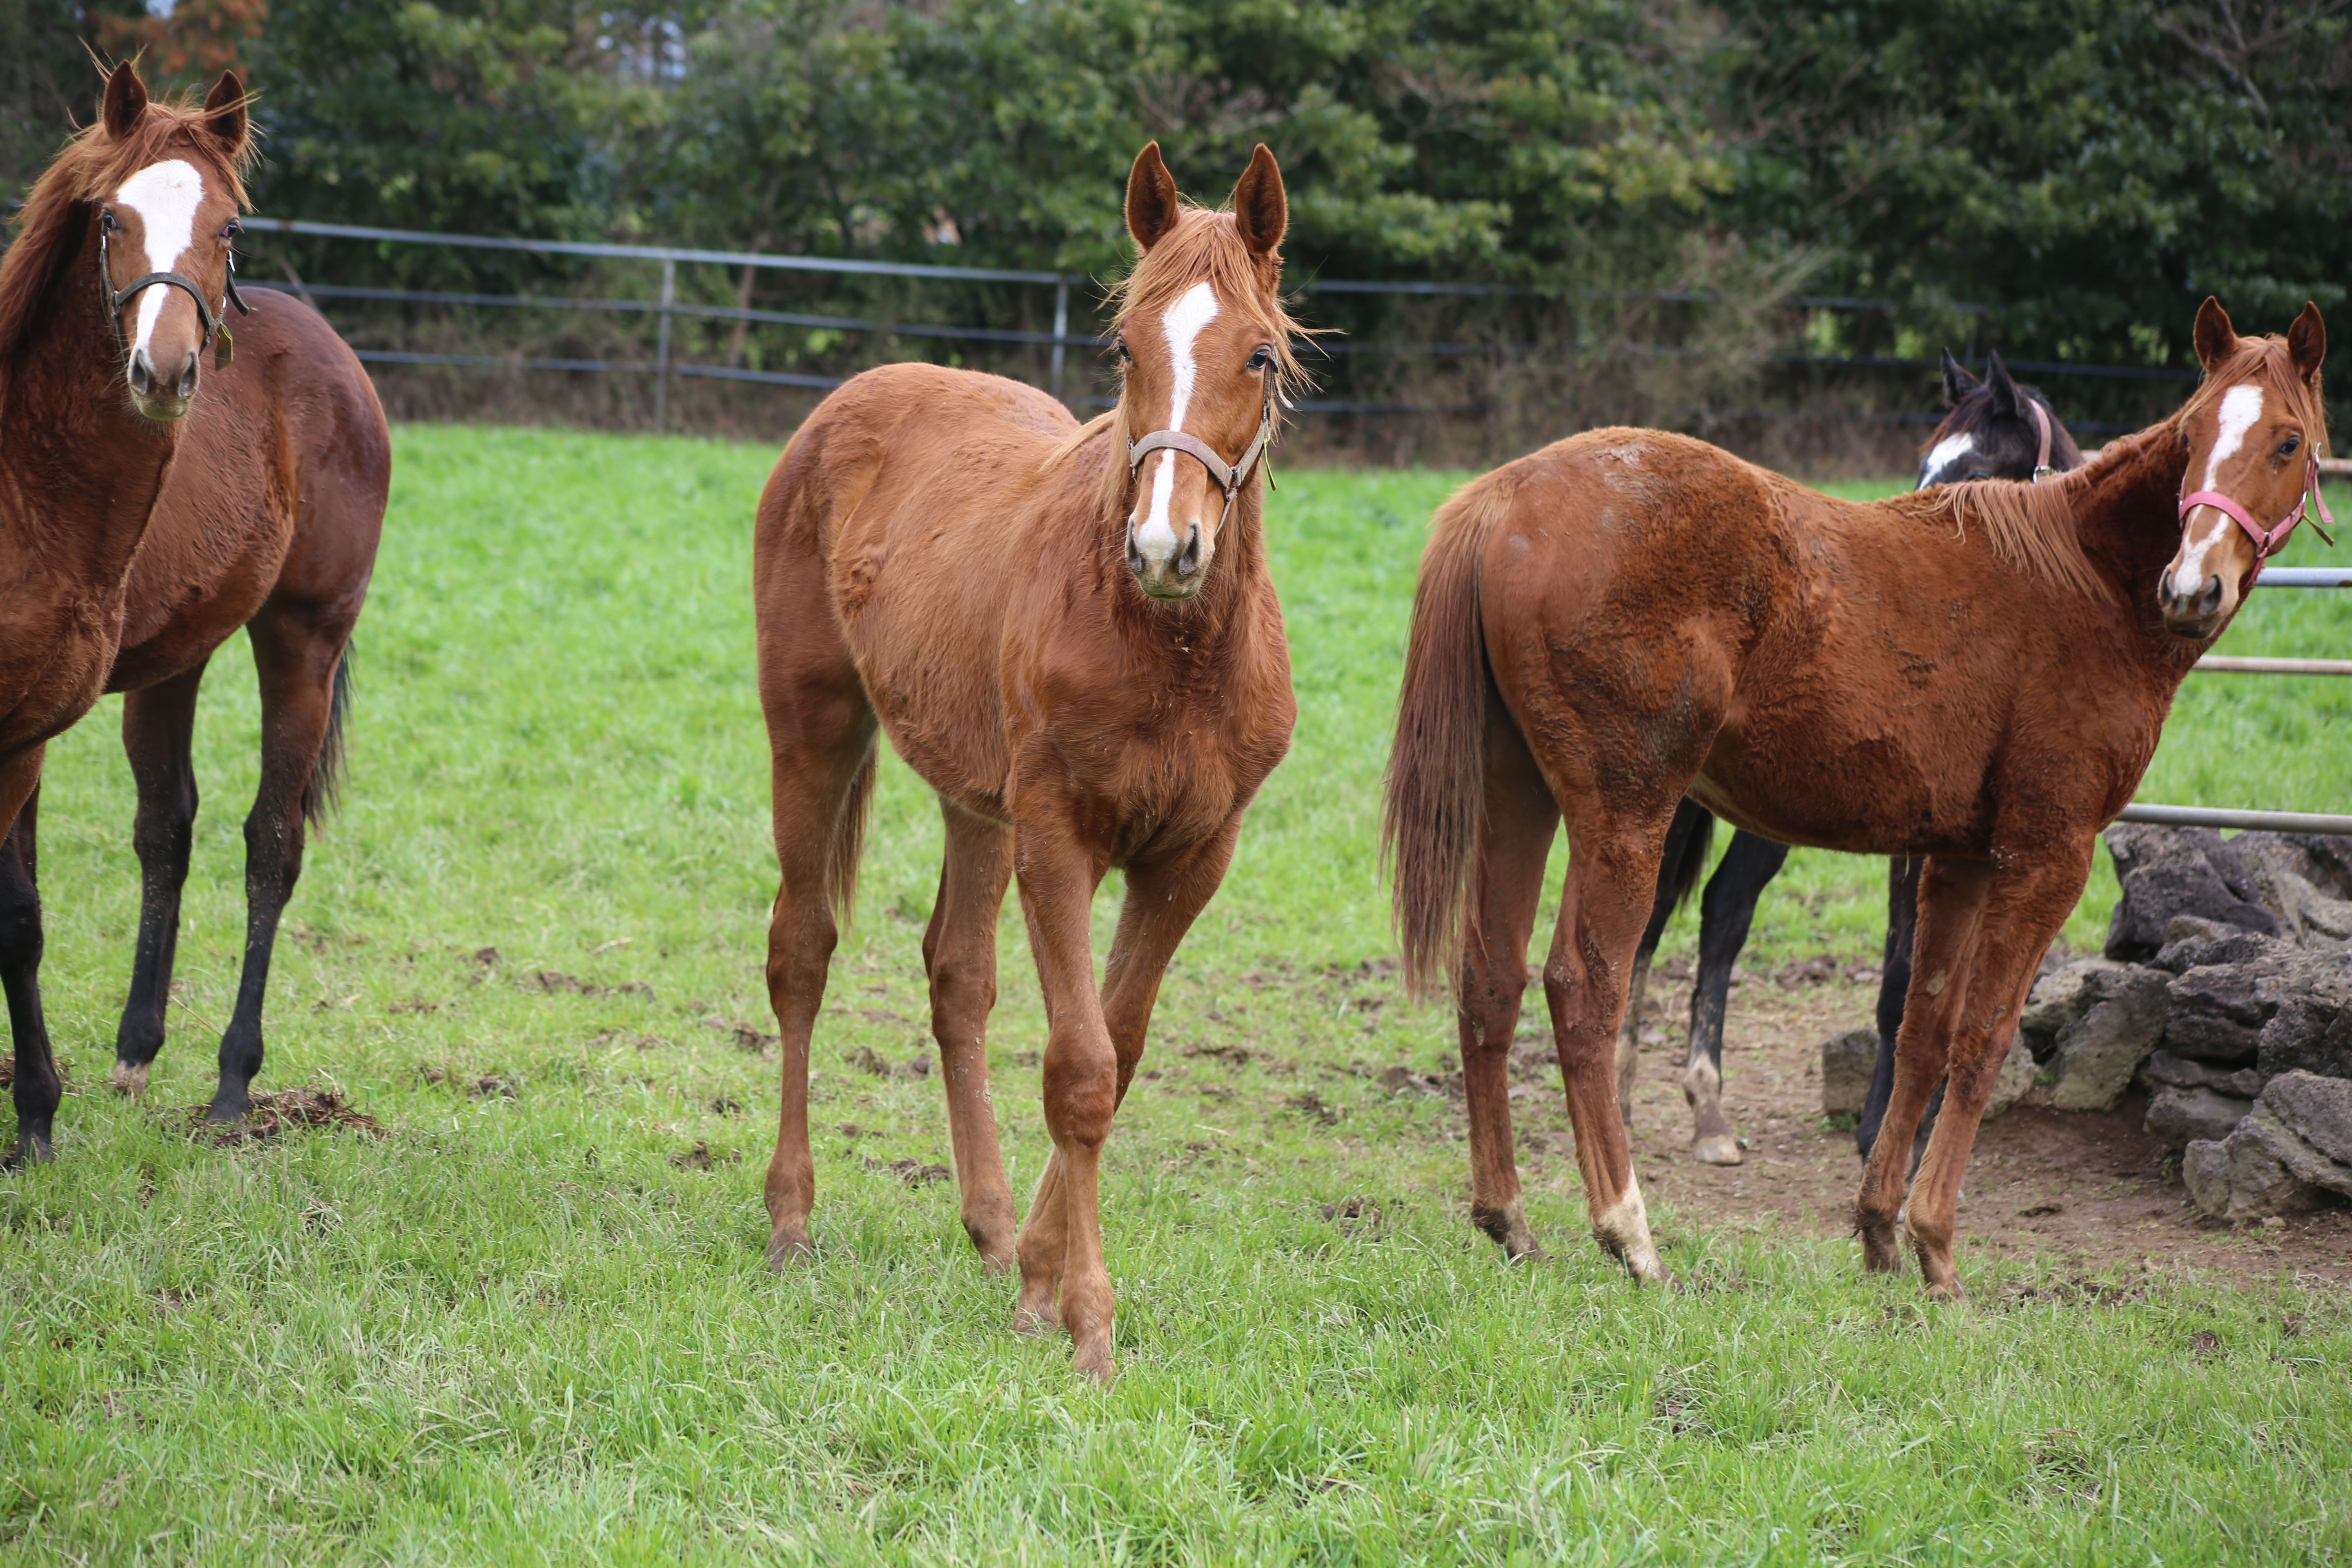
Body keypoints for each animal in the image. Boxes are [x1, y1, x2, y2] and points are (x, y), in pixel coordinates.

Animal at [1, 64, 385, 1166]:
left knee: (271, 845)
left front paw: (35, 1120)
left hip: (302, 641)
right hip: (176, 658)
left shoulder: (20, 735)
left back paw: (231, 1082)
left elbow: (16, 917)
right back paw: (136, 1049)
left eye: (228, 227)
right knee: (167, 825)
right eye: (110, 220)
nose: (166, 370)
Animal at [753, 144, 1298, 1373]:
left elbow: (1117, 1051)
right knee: (801, 954)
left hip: (975, 803)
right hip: (814, 735)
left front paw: (1038, 1278)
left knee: (956, 977)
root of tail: (851, 400)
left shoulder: (1191, 859)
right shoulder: (1060, 843)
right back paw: (792, 1219)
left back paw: (992, 1227)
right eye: (1125, 346)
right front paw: (1085, 1317)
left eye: (1258, 353)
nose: (1166, 547)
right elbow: (1080, 1065)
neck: (1168, 651)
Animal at [1392, 297, 2333, 1297]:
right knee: (1584, 985)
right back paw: (1630, 1234)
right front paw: (1938, 1250)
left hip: (1520, 799)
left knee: (1490, 978)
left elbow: (1922, 1028)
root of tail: (1506, 495)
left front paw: (1882, 1232)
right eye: (2194, 434)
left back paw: (1510, 1221)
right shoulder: (2047, 856)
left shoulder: (1958, 860)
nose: (2191, 587)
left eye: (2285, 442)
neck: (2077, 582)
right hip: (1628, 813)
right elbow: (1982, 1040)